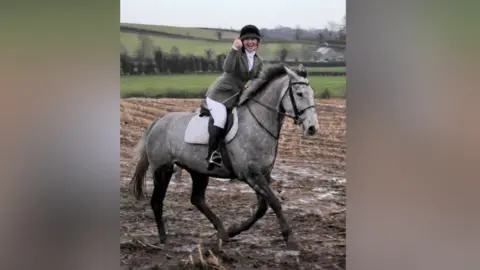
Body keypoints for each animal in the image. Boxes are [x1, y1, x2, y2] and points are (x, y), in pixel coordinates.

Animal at [129, 63, 320, 249]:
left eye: (312, 94)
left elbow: (262, 208)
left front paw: (234, 230)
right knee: (157, 201)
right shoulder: (251, 175)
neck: (258, 122)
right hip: (163, 170)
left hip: (198, 171)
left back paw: (222, 232)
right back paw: (164, 239)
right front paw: (291, 239)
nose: (312, 128)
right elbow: (274, 202)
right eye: (300, 94)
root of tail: (157, 122)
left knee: (197, 199)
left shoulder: (263, 174)